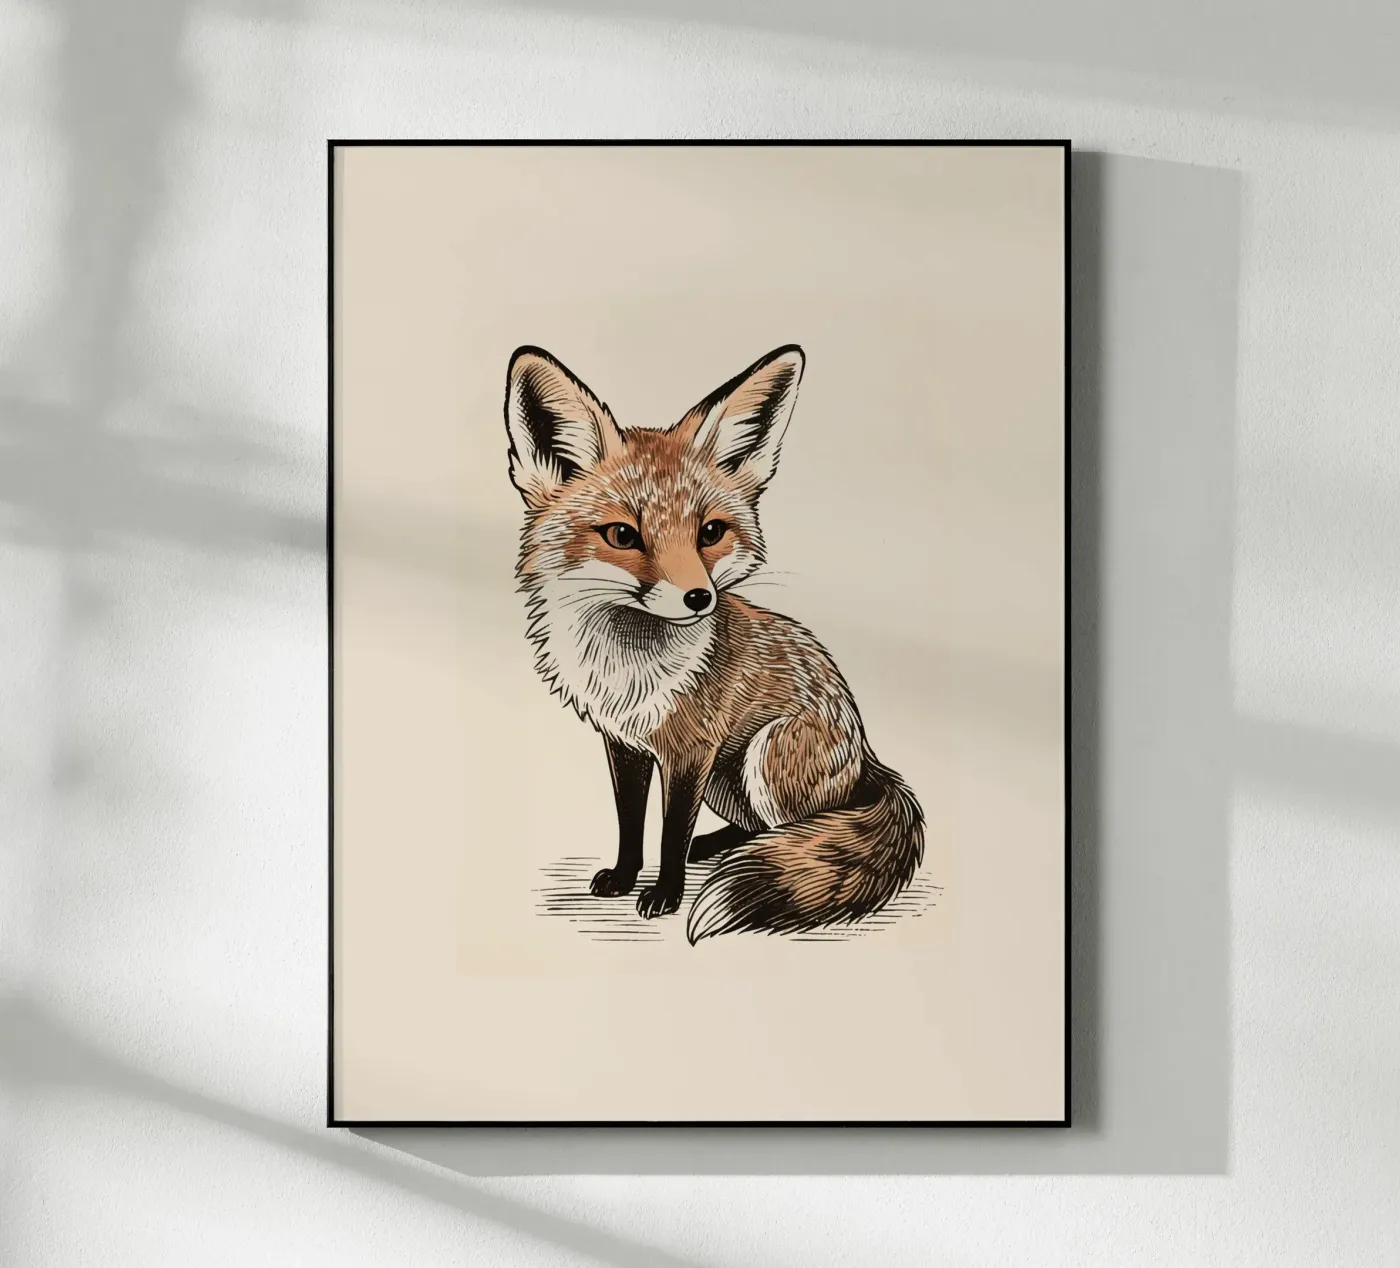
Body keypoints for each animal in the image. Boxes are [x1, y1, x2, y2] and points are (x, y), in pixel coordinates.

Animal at [504, 343, 924, 943]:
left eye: (710, 533)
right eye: (623, 535)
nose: (699, 598)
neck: (628, 668)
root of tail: (868, 756)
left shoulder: (692, 750)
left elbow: (670, 832)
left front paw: (665, 895)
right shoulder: (626, 744)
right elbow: (631, 822)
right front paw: (625, 878)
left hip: (763, 754)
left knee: (804, 831)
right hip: (731, 781)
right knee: (760, 829)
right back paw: (719, 847)